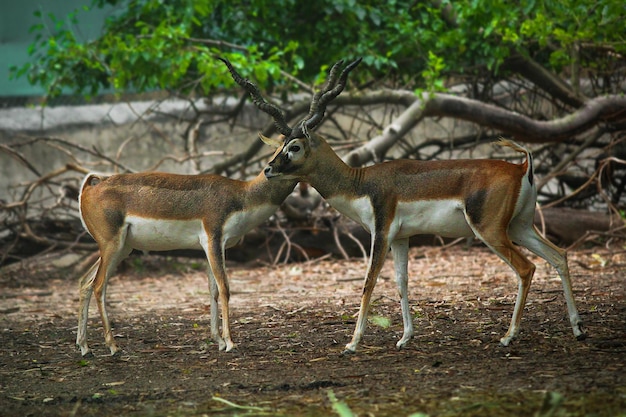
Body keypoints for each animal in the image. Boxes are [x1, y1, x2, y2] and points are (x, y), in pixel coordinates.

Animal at [75, 56, 344, 354]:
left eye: (294, 147)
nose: (270, 170)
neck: (242, 194)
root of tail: (92, 185)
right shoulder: (214, 239)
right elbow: (225, 287)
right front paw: (229, 342)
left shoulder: (210, 247)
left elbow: (213, 289)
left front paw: (217, 339)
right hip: (111, 245)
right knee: (99, 286)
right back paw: (112, 346)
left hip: (121, 247)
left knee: (84, 283)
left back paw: (84, 347)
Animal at [225, 57, 584, 352]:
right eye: (281, 144)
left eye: (295, 146)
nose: (269, 169)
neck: (359, 182)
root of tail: (522, 167)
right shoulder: (401, 238)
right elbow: (402, 282)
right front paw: (405, 337)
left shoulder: (380, 232)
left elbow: (369, 282)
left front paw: (352, 343)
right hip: (521, 227)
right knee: (559, 256)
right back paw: (578, 328)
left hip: (491, 231)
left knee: (527, 268)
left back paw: (509, 336)